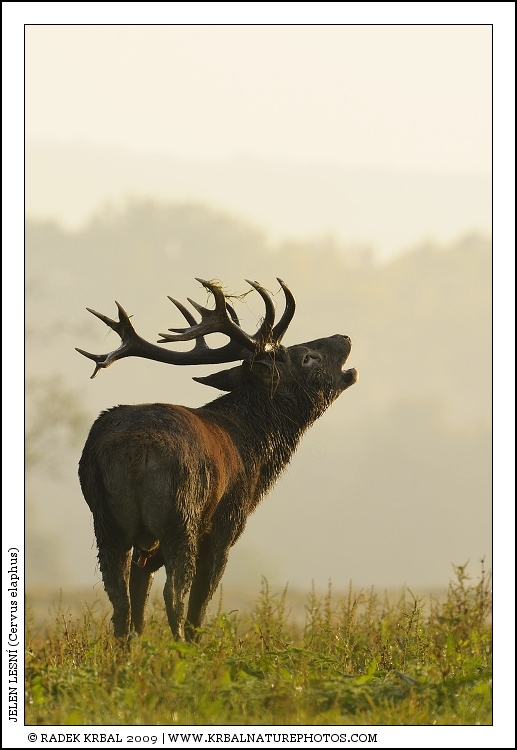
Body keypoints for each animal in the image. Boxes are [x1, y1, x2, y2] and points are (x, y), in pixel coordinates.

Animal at [77, 278, 358, 641]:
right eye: (307, 357)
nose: (344, 337)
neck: (256, 449)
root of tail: (133, 449)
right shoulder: (227, 526)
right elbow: (200, 607)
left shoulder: (145, 546)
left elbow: (139, 606)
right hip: (181, 515)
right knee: (175, 595)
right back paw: (180, 647)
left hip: (106, 521)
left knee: (120, 603)